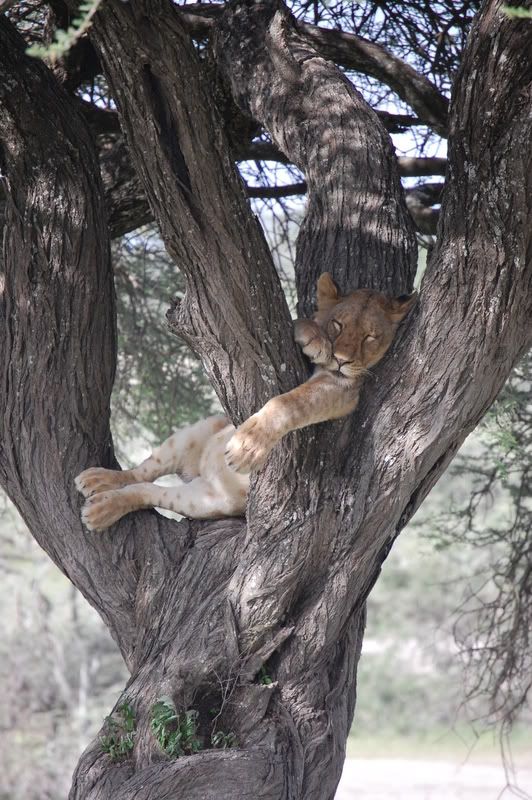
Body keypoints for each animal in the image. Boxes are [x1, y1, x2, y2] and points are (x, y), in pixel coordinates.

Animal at [75, 274, 416, 529]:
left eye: (371, 337)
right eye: (338, 324)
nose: (341, 359)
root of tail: (200, 473)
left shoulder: (343, 388)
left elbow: (289, 403)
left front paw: (246, 448)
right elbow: (299, 320)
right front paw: (315, 338)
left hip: (203, 500)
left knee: (150, 491)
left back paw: (101, 508)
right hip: (194, 433)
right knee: (143, 473)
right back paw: (100, 480)